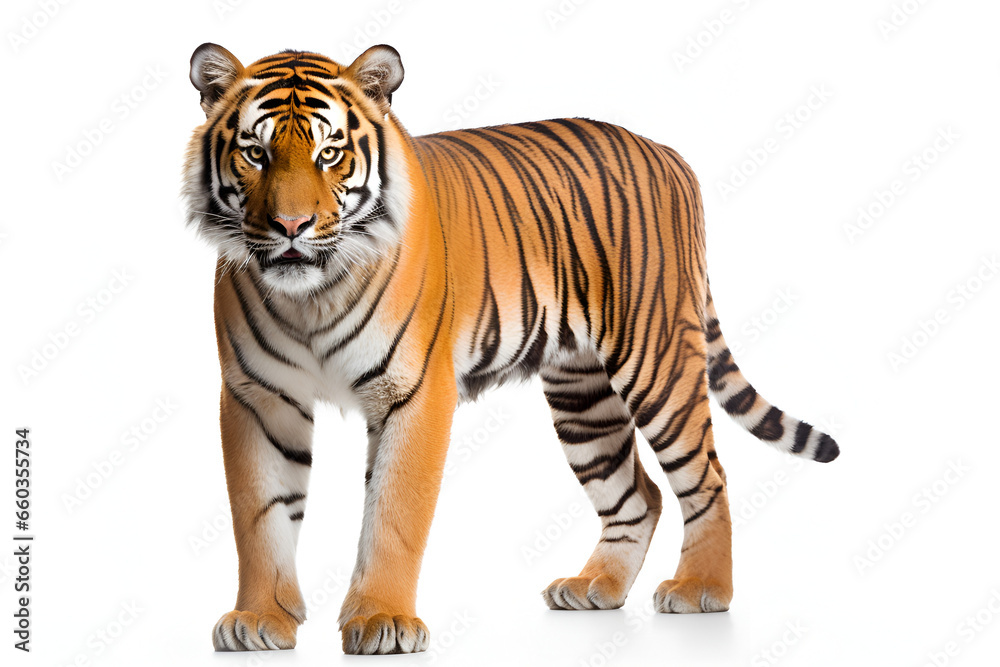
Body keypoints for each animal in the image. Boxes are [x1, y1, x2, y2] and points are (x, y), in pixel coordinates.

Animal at [182, 42, 840, 655]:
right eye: (256, 153)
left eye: (330, 154)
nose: (291, 227)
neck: (310, 297)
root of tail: (667, 153)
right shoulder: (257, 398)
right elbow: (260, 514)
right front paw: (260, 619)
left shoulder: (414, 394)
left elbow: (393, 512)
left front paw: (383, 621)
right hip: (582, 395)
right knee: (639, 495)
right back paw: (596, 587)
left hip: (656, 361)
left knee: (709, 475)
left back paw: (703, 588)